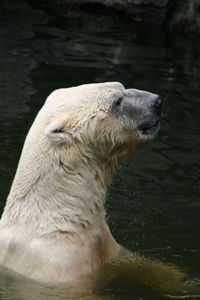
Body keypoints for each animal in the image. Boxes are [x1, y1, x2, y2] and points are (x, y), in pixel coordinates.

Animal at [0, 81, 194, 296]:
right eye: (116, 101)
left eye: (121, 86)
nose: (157, 101)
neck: (60, 217)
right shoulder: (57, 264)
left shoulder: (106, 246)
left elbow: (136, 262)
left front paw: (185, 282)